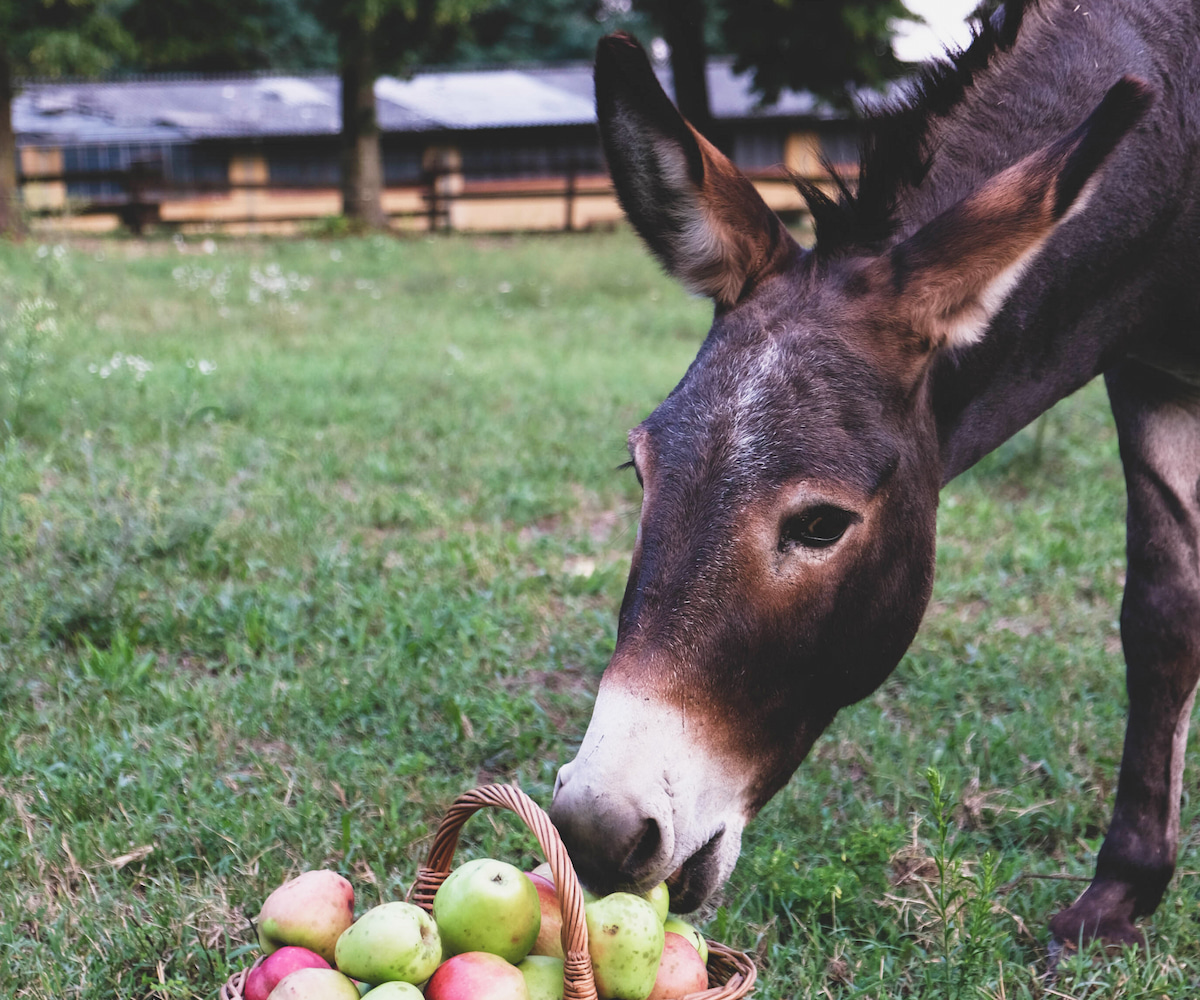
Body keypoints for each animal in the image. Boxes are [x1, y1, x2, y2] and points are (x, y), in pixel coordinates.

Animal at [548, 0, 1200, 949]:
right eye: (640, 473)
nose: (597, 829)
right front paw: (1124, 890)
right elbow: (1163, 614)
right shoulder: (1147, 371)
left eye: (822, 523)